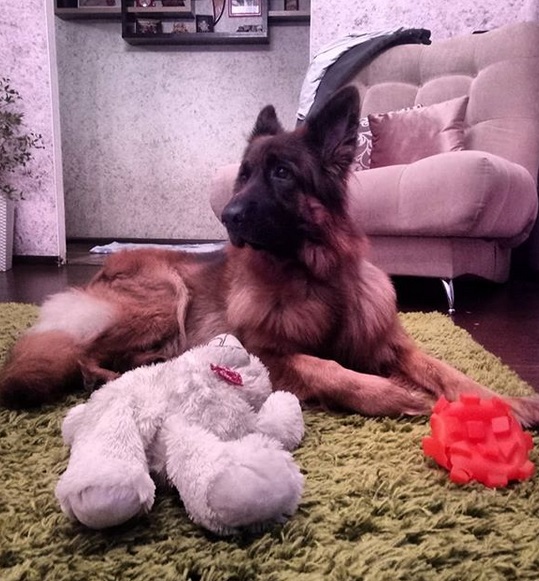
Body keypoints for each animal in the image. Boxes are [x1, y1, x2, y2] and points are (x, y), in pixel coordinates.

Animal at [1, 86, 539, 424]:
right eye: (243, 175)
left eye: (282, 173)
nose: (228, 216)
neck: (314, 275)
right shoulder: (266, 350)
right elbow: (333, 370)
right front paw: (397, 396)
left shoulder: (391, 343)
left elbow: (446, 370)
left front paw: (503, 403)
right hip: (166, 296)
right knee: (82, 352)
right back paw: (110, 377)